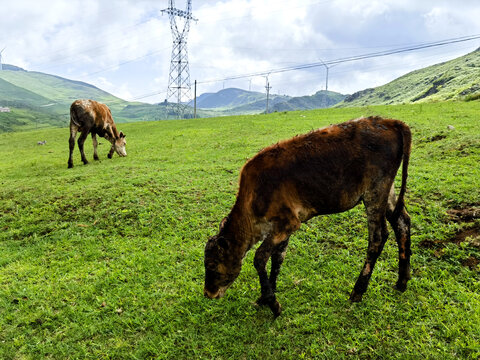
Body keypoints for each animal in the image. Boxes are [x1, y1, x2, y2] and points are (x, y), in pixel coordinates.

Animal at [204, 116, 410, 316]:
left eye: (212, 264)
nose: (208, 293)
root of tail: (389, 122)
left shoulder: (288, 223)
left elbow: (260, 258)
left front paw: (272, 303)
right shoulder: (282, 227)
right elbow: (278, 258)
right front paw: (267, 295)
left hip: (375, 191)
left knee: (378, 237)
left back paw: (357, 291)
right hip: (387, 191)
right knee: (402, 222)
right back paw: (402, 281)